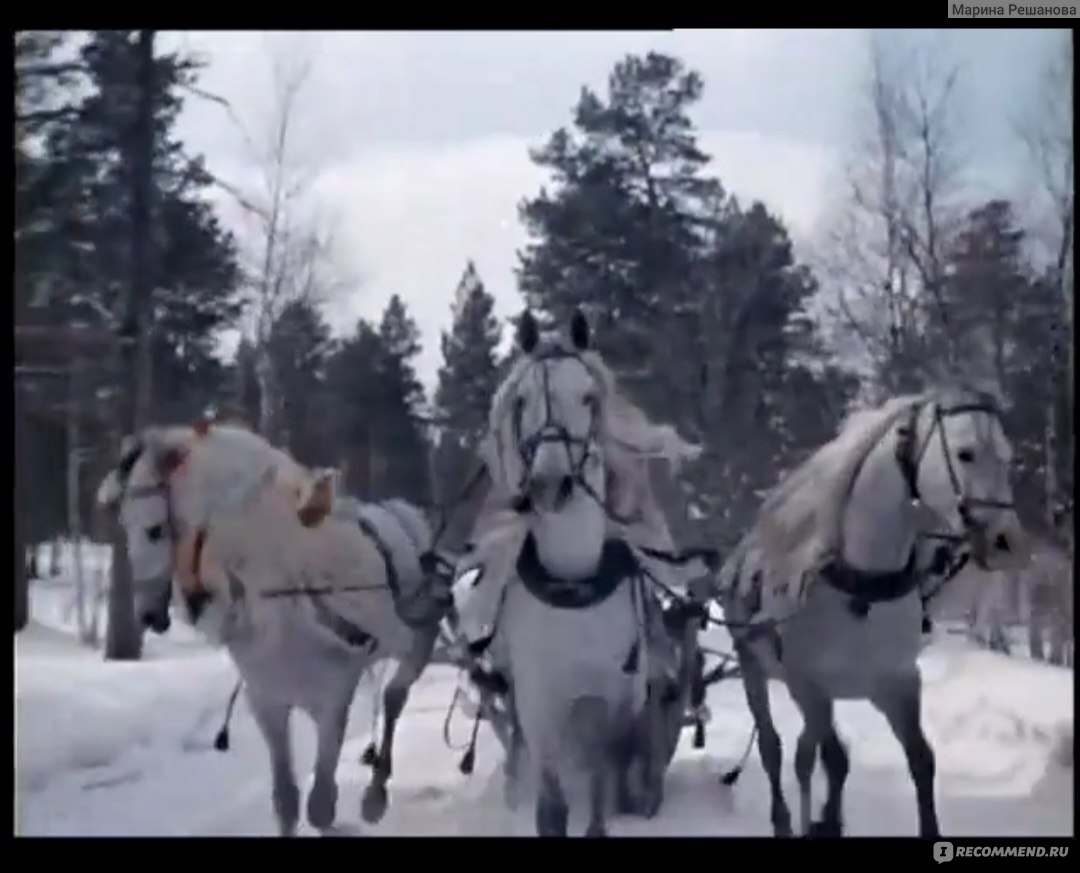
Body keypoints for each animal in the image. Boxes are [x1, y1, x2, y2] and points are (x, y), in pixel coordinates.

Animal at [93, 425, 447, 834]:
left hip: (415, 643)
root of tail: (404, 515)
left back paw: (375, 795)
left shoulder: (332, 701)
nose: (149, 615)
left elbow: (320, 806)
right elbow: (287, 803)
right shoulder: (269, 705)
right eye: (124, 527)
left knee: (394, 697)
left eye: (154, 531)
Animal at [449, 311, 695, 834]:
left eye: (587, 396)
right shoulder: (541, 708)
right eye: (521, 400)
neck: (573, 584)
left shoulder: (612, 706)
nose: (549, 484)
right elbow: (551, 809)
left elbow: (601, 801)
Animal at [717, 386, 1028, 838]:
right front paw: (815, 821)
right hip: (752, 668)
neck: (860, 589)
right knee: (773, 748)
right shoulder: (809, 687)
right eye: (966, 453)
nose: (1010, 544)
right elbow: (813, 758)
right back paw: (784, 819)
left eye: (1007, 457)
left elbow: (919, 760)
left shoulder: (896, 685)